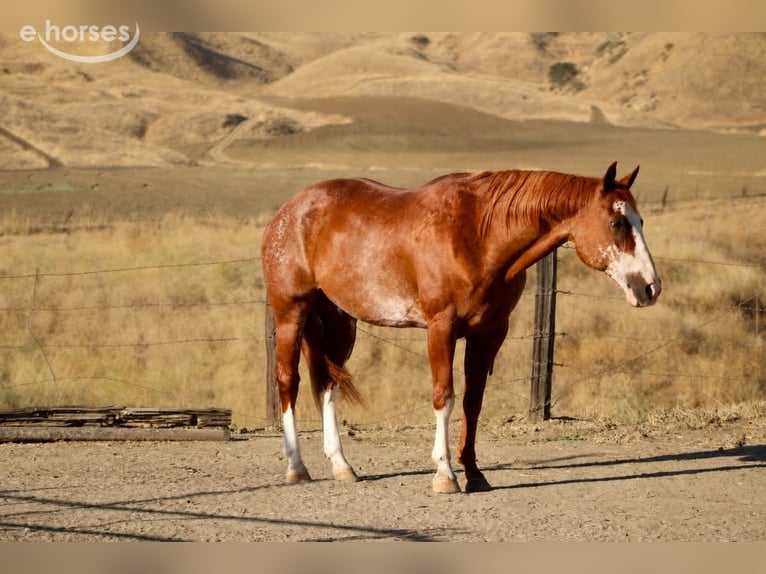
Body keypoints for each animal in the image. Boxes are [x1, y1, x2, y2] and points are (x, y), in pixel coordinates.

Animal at [260, 161, 661, 493]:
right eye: (617, 223)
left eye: (641, 221)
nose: (650, 287)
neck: (479, 235)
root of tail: (288, 211)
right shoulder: (441, 328)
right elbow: (444, 397)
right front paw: (445, 475)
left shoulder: (489, 334)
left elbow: (473, 402)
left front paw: (474, 473)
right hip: (291, 313)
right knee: (288, 380)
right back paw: (296, 466)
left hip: (340, 321)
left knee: (328, 385)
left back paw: (342, 465)